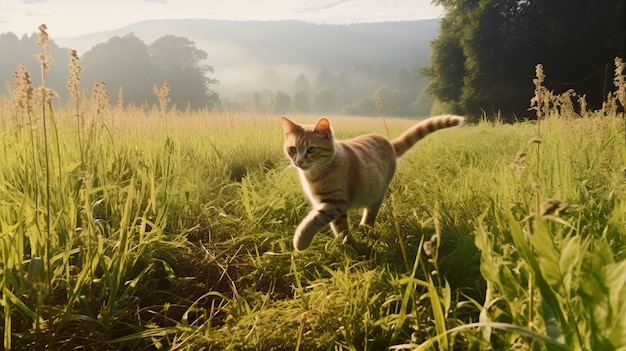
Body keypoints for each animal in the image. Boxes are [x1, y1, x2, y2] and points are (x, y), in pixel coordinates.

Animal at [280, 115, 460, 250]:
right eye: (293, 149)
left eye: (311, 149)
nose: (299, 162)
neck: (315, 174)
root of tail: (388, 142)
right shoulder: (331, 205)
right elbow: (339, 226)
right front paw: (346, 243)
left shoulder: (335, 202)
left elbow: (313, 221)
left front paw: (300, 242)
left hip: (377, 193)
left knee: (371, 213)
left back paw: (365, 229)